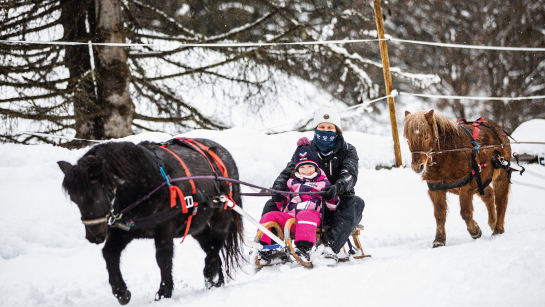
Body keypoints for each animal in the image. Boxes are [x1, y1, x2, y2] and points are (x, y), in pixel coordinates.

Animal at [57, 140, 242, 306]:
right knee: (210, 246)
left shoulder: (164, 229)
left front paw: (164, 293)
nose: (94, 236)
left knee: (217, 242)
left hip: (221, 214)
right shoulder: (125, 230)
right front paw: (121, 292)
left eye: (95, 195)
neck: (142, 182)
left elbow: (163, 258)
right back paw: (216, 280)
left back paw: (210, 272)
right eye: (74, 199)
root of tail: (225, 155)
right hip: (196, 226)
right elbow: (109, 253)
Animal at [402, 110, 512, 248]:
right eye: (407, 140)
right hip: (481, 181)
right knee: (489, 196)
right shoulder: (436, 190)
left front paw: (475, 231)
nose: (417, 167)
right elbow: (439, 215)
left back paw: (498, 229)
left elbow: (465, 213)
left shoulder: (466, 188)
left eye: (426, 137)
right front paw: (439, 240)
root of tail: (495, 127)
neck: (451, 152)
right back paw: (493, 223)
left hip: (500, 176)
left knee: (501, 201)